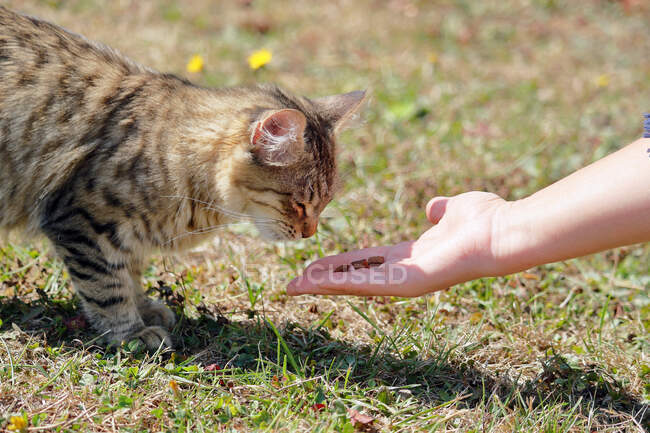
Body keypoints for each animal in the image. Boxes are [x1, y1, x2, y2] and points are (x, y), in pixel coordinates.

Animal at [0, 6, 364, 350]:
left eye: (325, 203)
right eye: (300, 203)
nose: (309, 233)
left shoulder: (116, 236)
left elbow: (129, 271)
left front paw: (144, 307)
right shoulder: (83, 222)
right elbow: (107, 287)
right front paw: (130, 332)